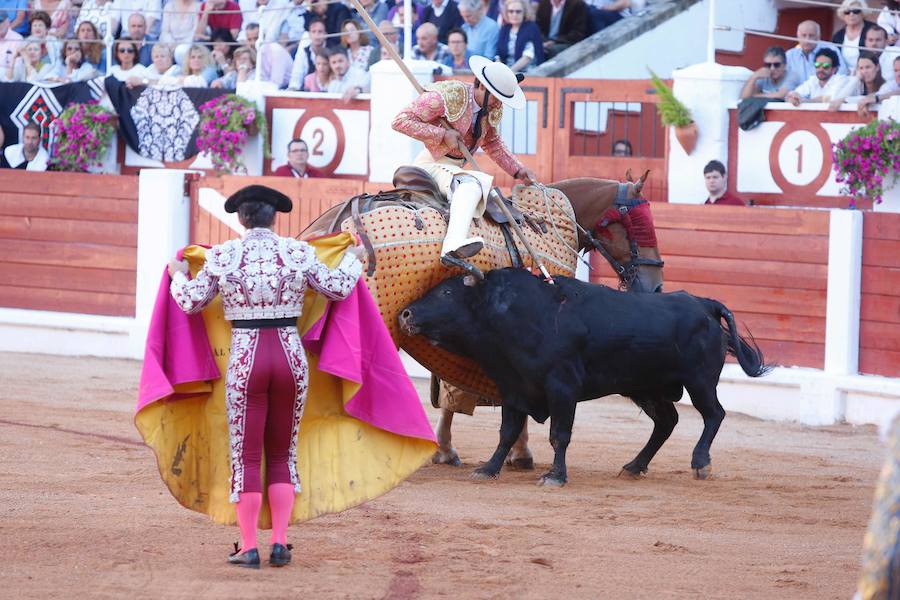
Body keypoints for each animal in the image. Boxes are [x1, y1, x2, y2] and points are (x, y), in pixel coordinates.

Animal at [398, 270, 768, 486]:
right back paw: (634, 466)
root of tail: (703, 303)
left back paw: (700, 463)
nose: (406, 313)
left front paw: (555, 476)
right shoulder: (514, 388)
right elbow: (506, 432)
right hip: (645, 386)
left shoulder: (562, 387)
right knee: (667, 421)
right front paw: (488, 469)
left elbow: (559, 434)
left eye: (446, 293)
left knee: (713, 414)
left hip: (699, 380)